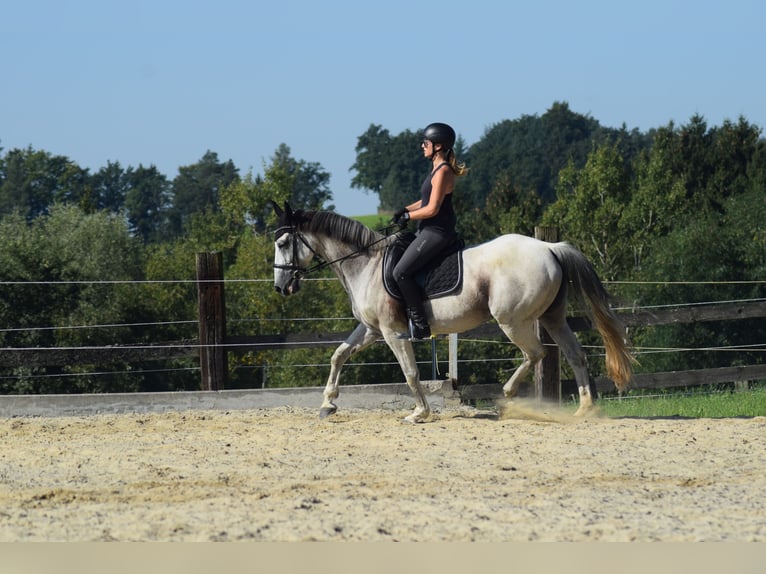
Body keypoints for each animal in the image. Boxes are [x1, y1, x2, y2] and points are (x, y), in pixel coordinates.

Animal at [272, 202, 632, 424]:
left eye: (283, 243)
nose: (280, 287)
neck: (366, 264)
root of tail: (549, 247)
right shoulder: (371, 329)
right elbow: (339, 355)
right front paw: (327, 404)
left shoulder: (391, 332)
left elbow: (411, 373)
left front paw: (419, 413)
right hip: (551, 317)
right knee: (575, 354)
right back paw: (584, 409)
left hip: (512, 320)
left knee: (536, 353)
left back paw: (507, 396)